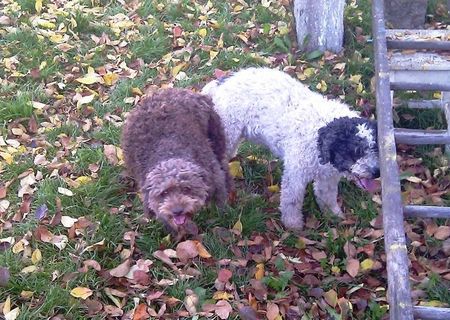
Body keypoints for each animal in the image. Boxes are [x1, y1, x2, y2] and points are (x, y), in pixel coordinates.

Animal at [204, 69, 380, 231]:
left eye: (375, 148)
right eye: (356, 151)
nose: (376, 172)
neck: (321, 136)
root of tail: (225, 80)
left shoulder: (328, 176)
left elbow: (327, 196)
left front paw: (333, 215)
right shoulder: (296, 174)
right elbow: (291, 201)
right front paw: (293, 225)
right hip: (228, 129)